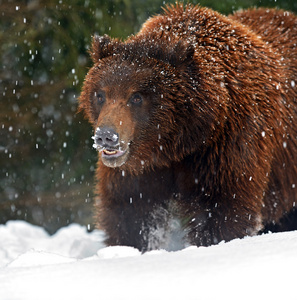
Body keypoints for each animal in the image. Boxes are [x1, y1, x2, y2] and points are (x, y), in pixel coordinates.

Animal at [78, 3, 296, 252]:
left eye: (136, 97)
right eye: (100, 94)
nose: (106, 136)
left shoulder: (228, 145)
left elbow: (223, 209)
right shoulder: (139, 170)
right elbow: (131, 212)